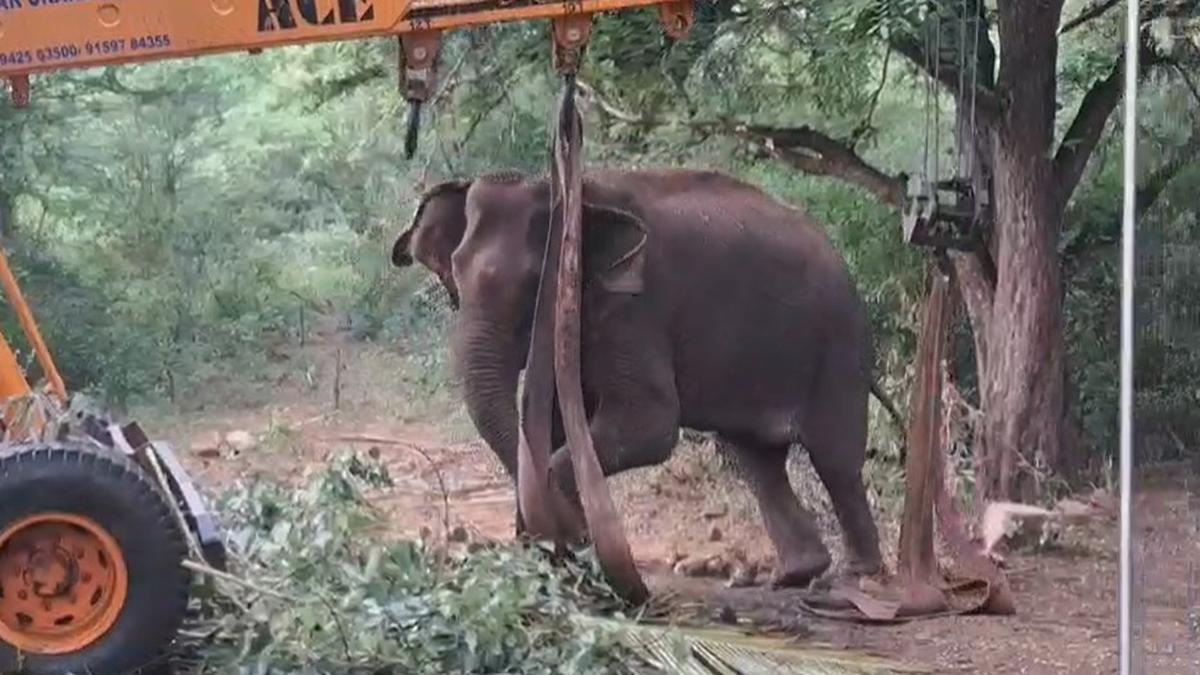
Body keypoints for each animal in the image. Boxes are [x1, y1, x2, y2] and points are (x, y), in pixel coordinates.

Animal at [393, 166, 883, 583]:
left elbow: (651, 426)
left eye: (536, 283)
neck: (575, 194)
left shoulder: (634, 307)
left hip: (838, 346)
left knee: (834, 460)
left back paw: (858, 573)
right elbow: (554, 423)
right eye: (454, 273)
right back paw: (795, 574)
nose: (554, 543)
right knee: (756, 460)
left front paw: (573, 546)